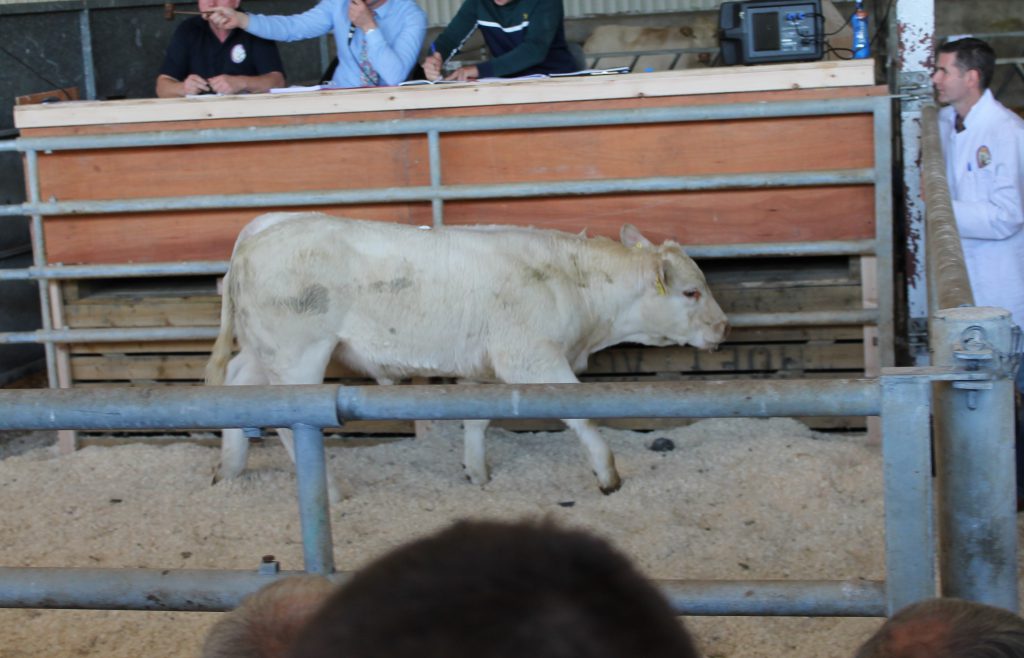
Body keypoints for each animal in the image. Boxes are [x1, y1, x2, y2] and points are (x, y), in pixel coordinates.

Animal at [206, 212, 728, 497]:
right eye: (690, 292)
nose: (723, 326)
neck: (575, 284)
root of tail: (257, 235)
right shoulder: (532, 358)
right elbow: (579, 414)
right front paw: (608, 475)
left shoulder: (488, 367)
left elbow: (477, 419)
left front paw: (476, 473)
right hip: (299, 352)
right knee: (287, 419)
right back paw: (329, 491)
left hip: (264, 349)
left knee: (237, 385)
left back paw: (230, 470)